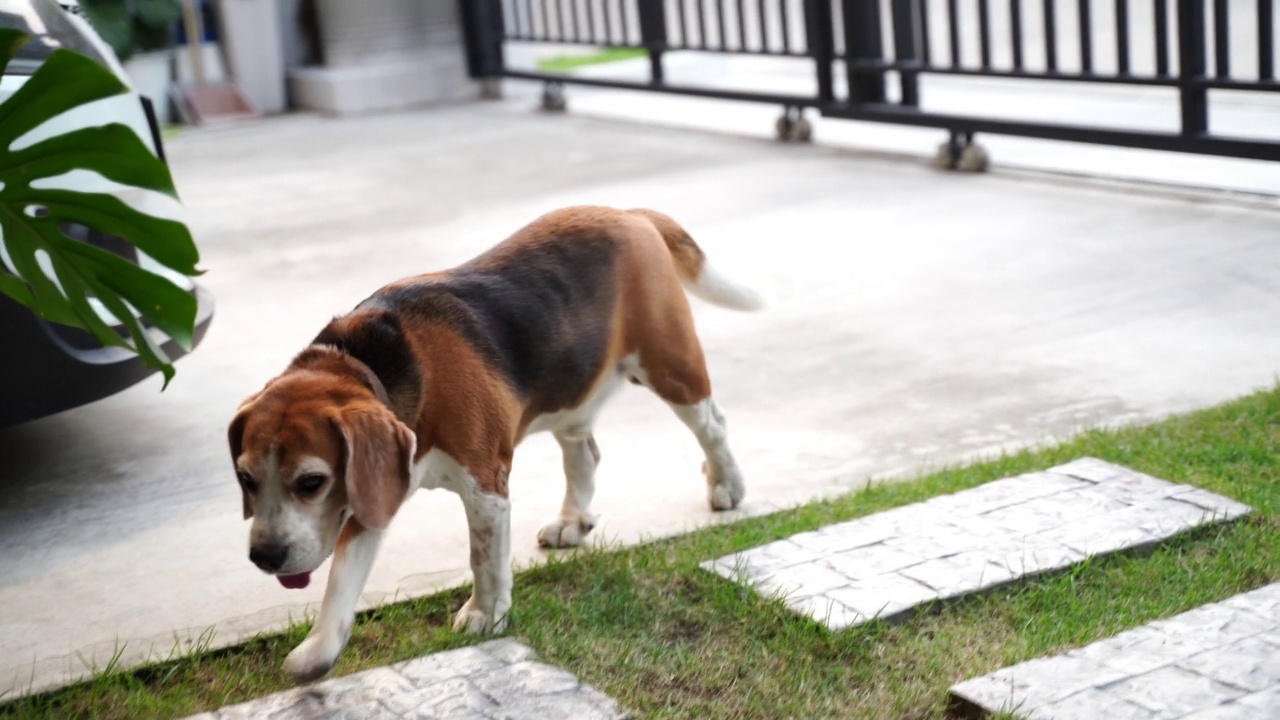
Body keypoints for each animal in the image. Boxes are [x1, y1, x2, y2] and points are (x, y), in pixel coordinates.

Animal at [227, 203, 757, 676]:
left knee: (712, 424)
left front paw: (485, 614)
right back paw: (572, 521)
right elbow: (341, 578)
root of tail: (630, 214)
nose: (264, 557)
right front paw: (318, 650)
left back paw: (727, 485)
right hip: (571, 391)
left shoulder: (483, 486)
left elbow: (483, 558)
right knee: (584, 454)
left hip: (670, 365)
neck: (369, 364)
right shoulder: (371, 493)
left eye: (311, 482)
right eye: (246, 479)